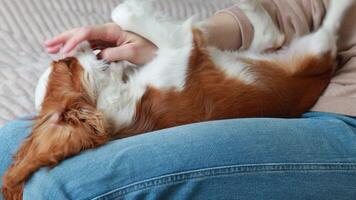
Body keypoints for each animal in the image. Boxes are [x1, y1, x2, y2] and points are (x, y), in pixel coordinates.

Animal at [2, 0, 354, 198]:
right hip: (312, 52)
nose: (87, 45)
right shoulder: (185, 49)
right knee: (304, 31)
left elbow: (124, 13)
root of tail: (318, 74)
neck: (113, 100)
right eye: (67, 64)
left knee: (272, 34)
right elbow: (126, 10)